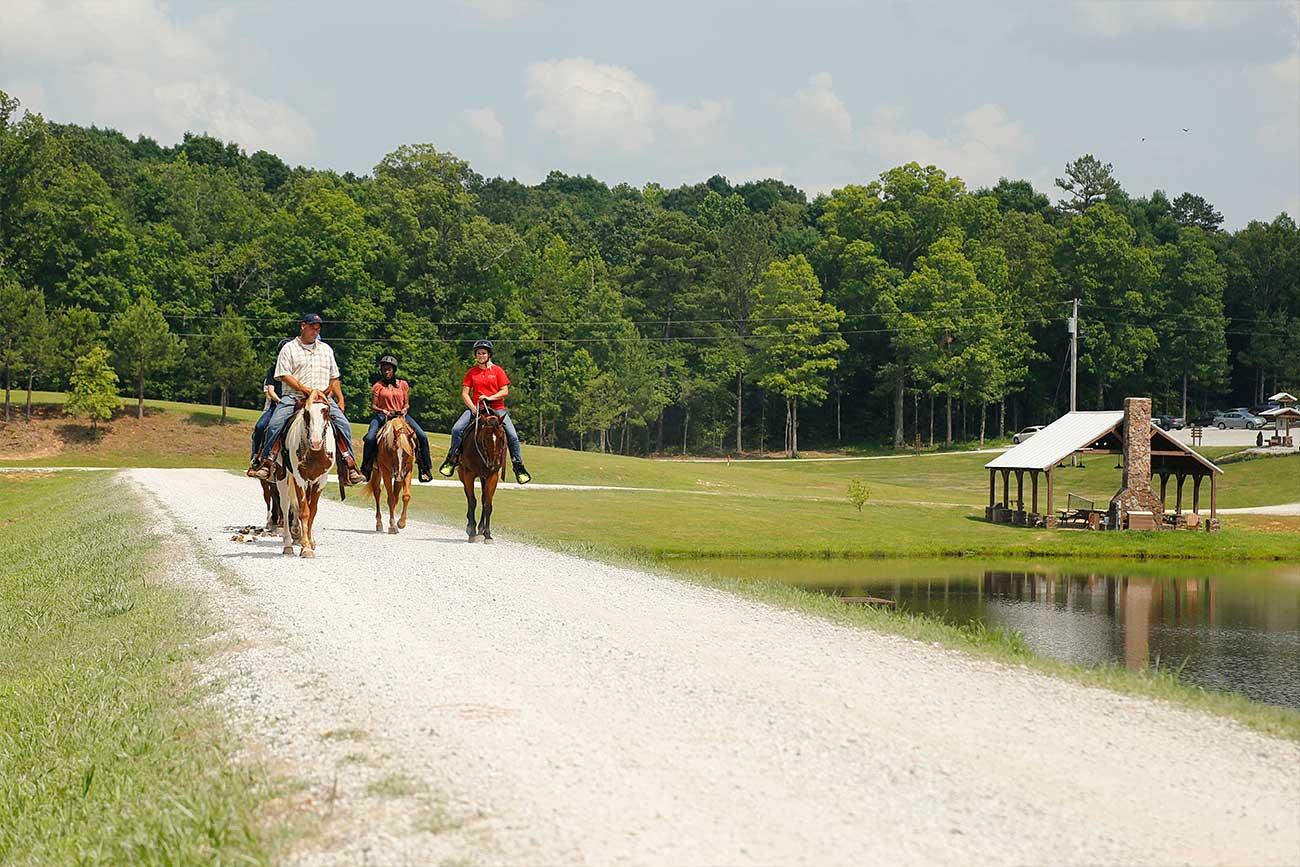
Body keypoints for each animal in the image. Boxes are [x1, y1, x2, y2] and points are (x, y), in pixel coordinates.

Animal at [276, 392, 335, 558]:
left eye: (326, 411)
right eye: (307, 413)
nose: (316, 442)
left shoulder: (321, 480)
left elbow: (312, 511)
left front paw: (309, 542)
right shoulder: (299, 478)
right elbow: (304, 511)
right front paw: (306, 548)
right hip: (282, 477)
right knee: (285, 505)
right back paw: (288, 545)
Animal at [457, 402, 506, 543]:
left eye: (501, 438)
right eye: (485, 439)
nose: (493, 463)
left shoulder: (492, 476)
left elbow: (487, 504)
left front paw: (487, 534)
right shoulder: (468, 475)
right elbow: (472, 501)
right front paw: (471, 531)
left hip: (484, 478)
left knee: (484, 498)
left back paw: (480, 529)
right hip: (462, 475)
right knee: (468, 497)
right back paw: (471, 527)